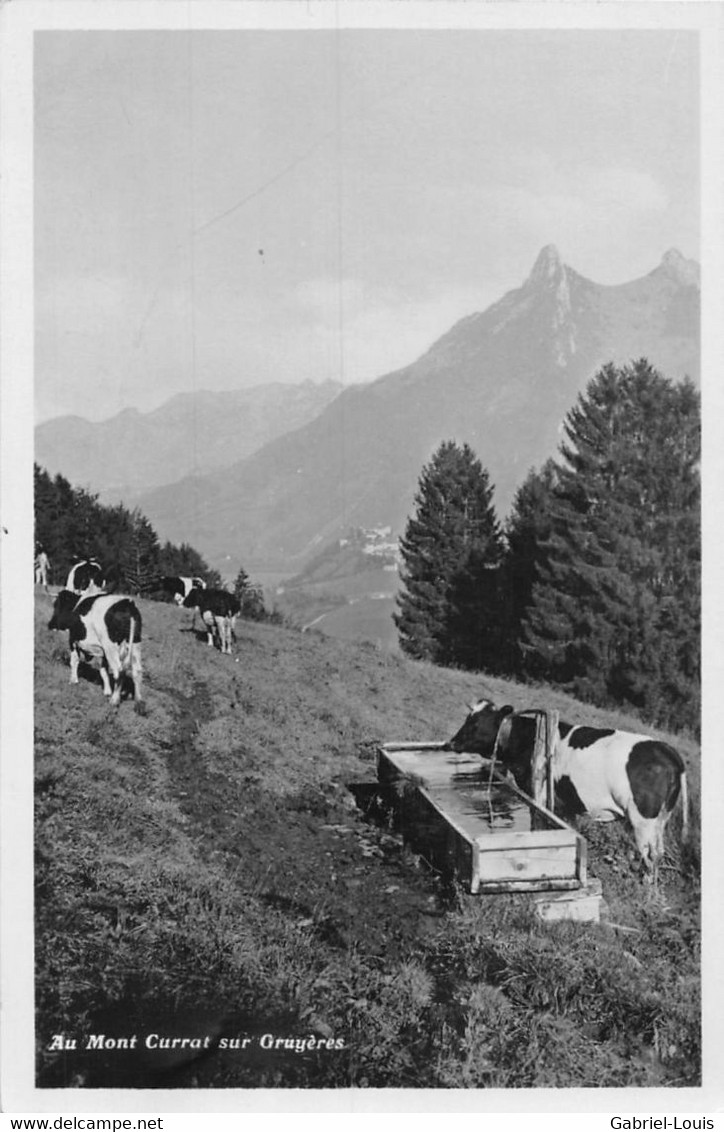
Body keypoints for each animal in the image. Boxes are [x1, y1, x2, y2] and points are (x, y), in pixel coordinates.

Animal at [447, 697, 687, 882]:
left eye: (477, 722)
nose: (451, 743)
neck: (525, 738)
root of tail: (666, 748)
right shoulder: (566, 804)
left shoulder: (538, 793)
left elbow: (539, 824)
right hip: (661, 818)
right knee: (659, 852)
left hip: (643, 819)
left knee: (650, 854)